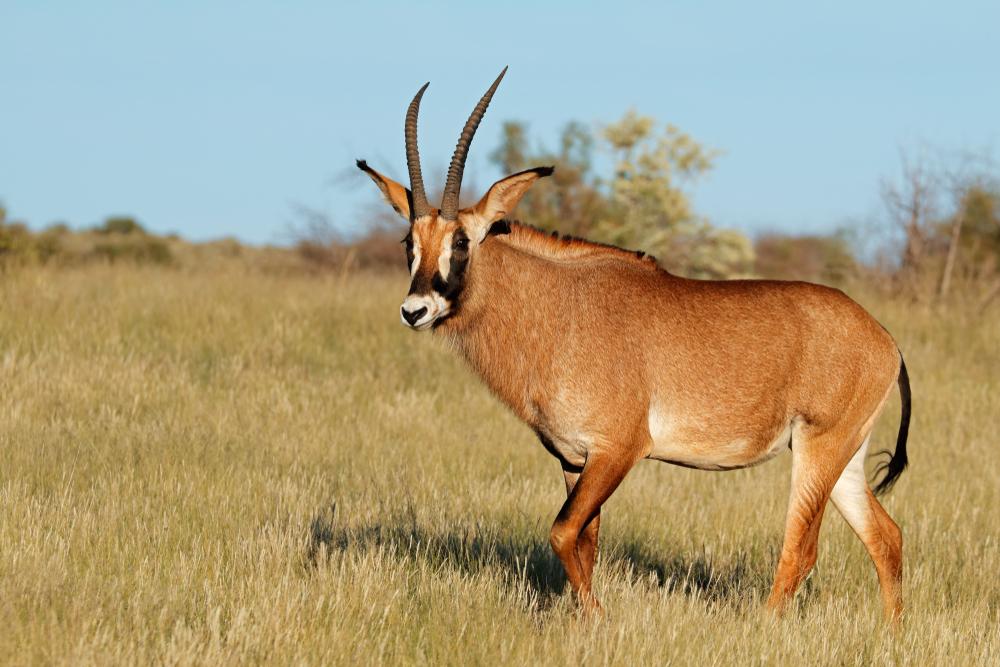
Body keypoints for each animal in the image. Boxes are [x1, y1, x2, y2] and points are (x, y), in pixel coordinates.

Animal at [357, 68, 911, 622]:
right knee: (886, 535)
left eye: (461, 241)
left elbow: (562, 533)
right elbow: (584, 542)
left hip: (819, 449)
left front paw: (598, 618)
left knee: (802, 550)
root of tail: (885, 340)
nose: (415, 310)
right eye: (409, 242)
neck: (560, 307)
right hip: (843, 458)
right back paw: (890, 631)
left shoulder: (617, 450)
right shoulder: (574, 459)